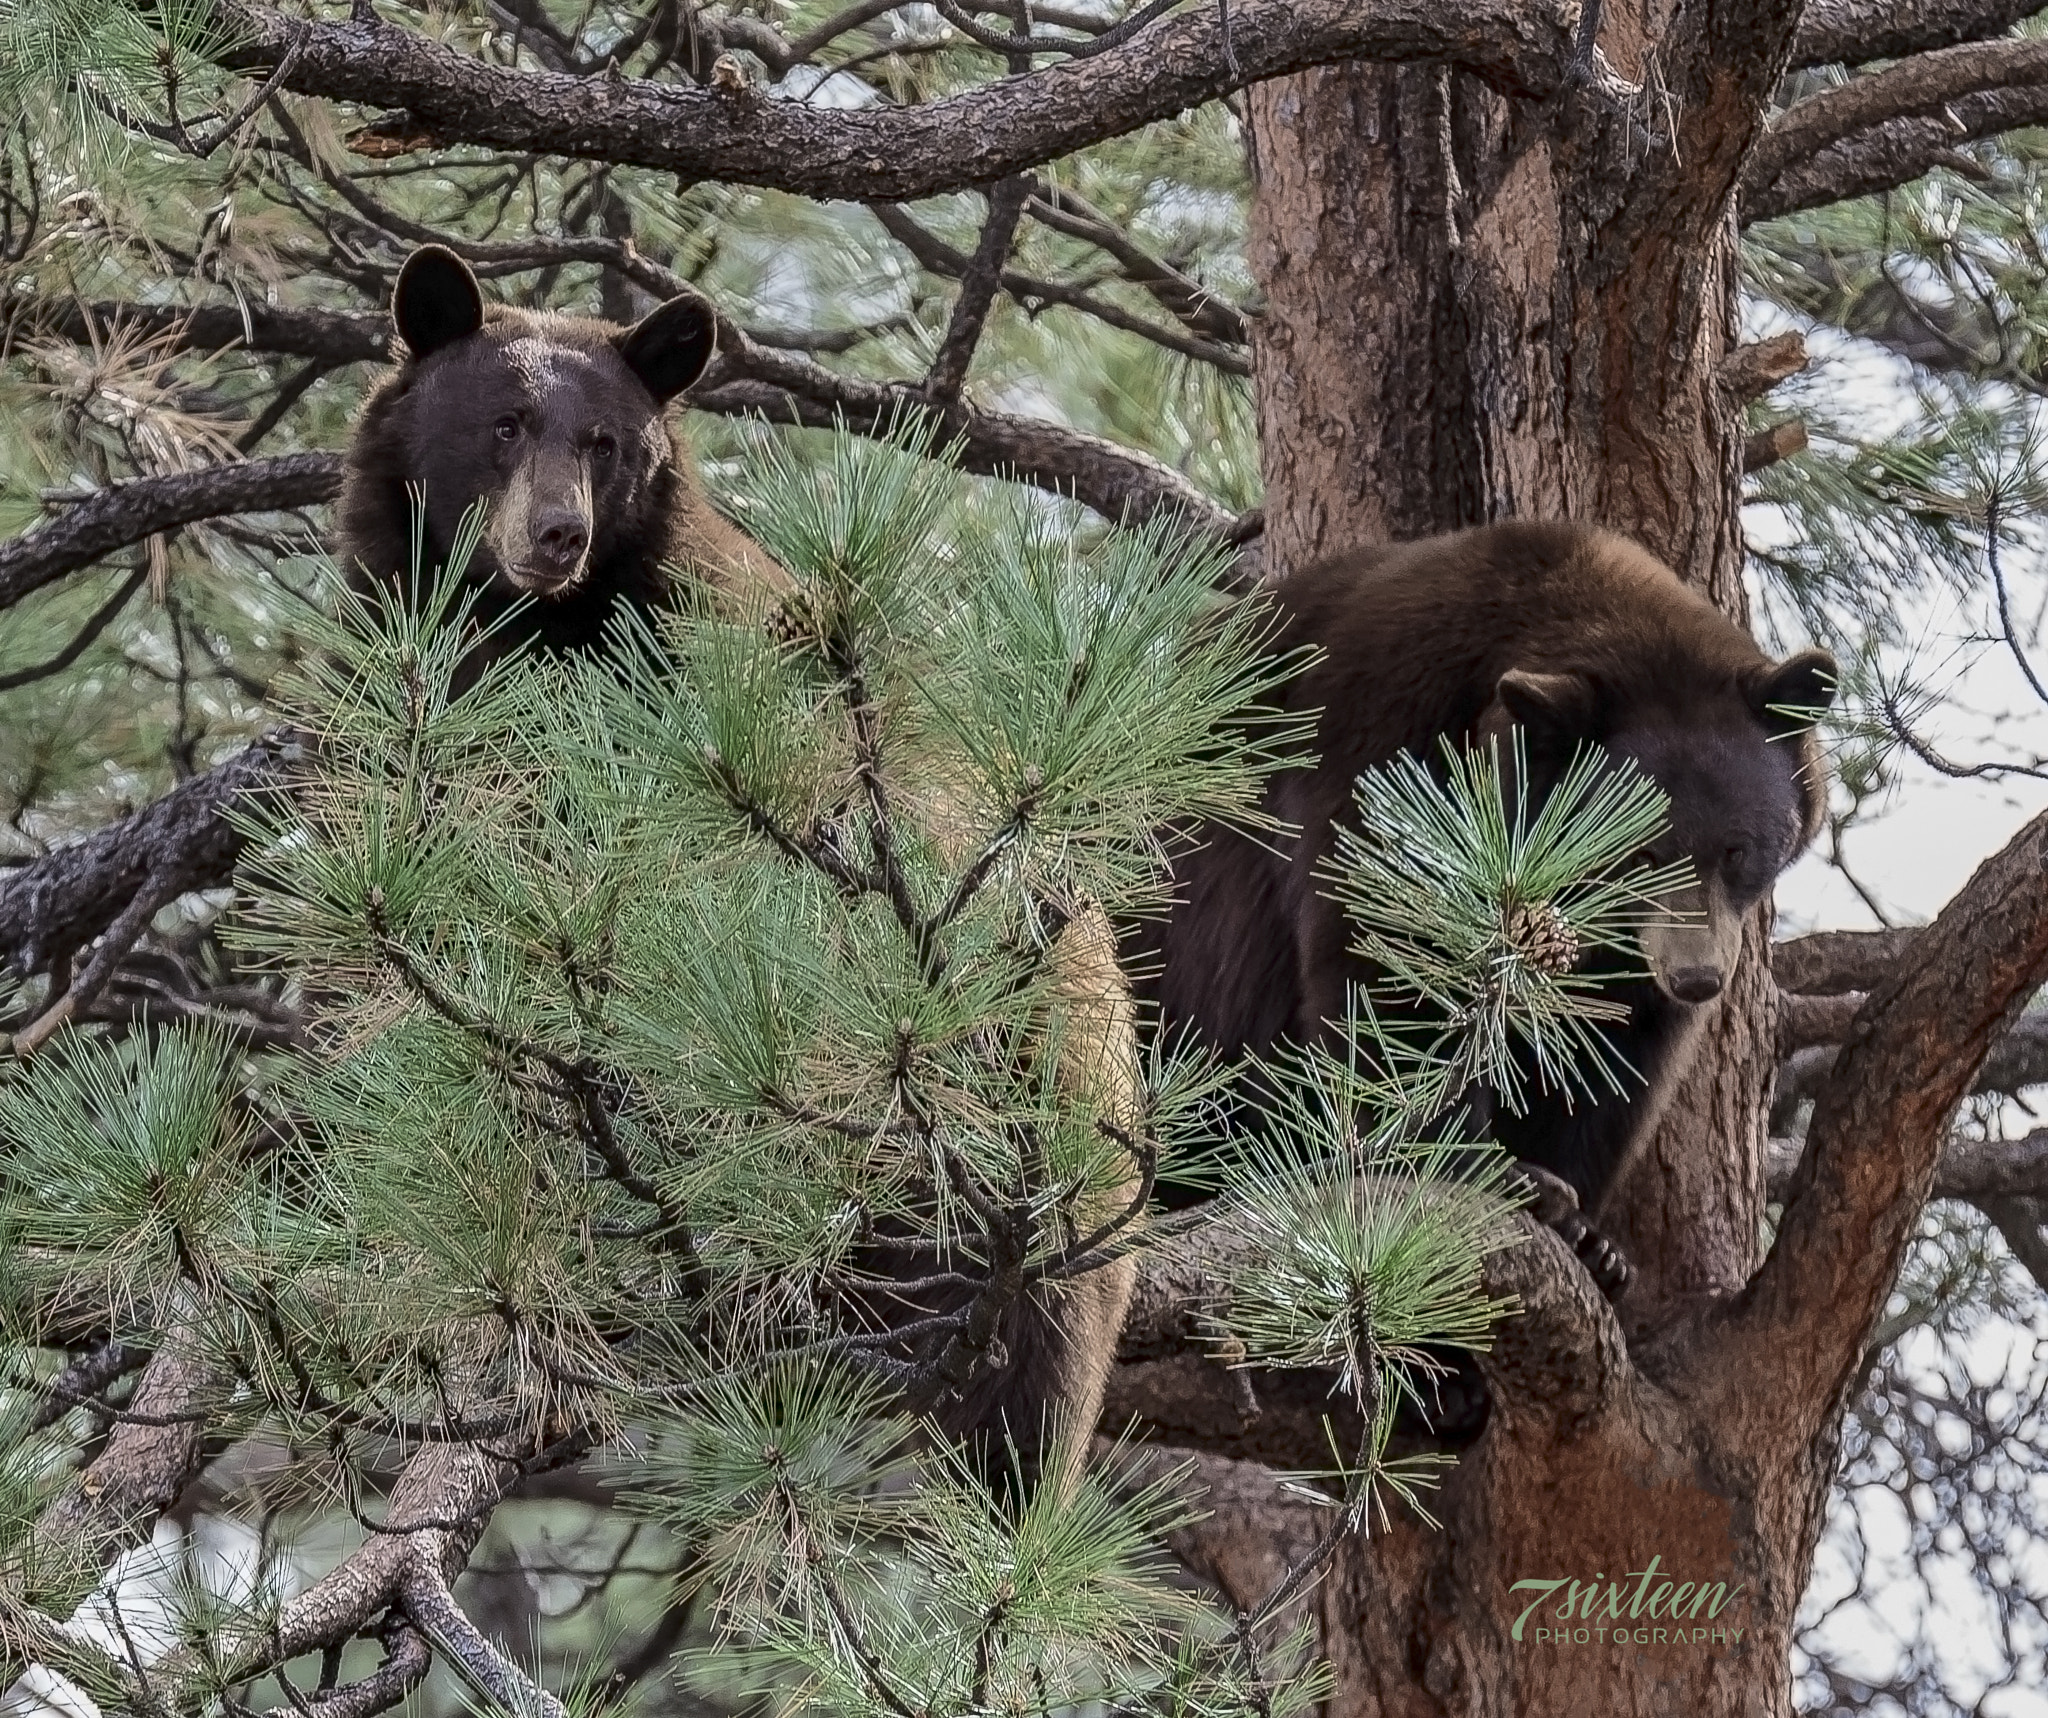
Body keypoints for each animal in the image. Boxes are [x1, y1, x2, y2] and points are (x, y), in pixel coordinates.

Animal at [1133, 521, 1836, 1294]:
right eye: (1640, 855)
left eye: (1738, 850)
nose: (1697, 977)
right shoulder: (1379, 752)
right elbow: (1391, 968)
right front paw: (1488, 1168)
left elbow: (1611, 1049)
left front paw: (1589, 1229)